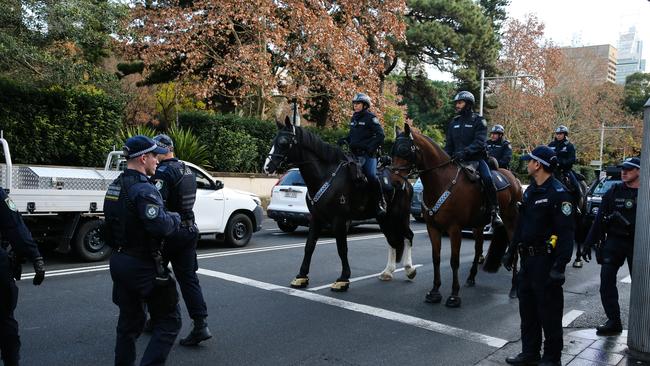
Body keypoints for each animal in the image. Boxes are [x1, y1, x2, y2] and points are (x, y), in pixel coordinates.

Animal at [264, 117, 416, 292]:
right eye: (274, 140)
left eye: (283, 142)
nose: (267, 167)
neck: (325, 176)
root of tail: (404, 180)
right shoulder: (316, 218)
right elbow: (309, 246)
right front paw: (301, 276)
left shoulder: (340, 220)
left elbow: (342, 248)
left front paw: (343, 279)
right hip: (384, 219)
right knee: (392, 241)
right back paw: (388, 272)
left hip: (400, 216)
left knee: (408, 236)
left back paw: (409, 269)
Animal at [390, 124, 520, 308]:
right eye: (393, 151)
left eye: (405, 150)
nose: (394, 182)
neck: (441, 181)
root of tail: (513, 177)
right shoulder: (433, 228)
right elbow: (436, 258)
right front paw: (435, 291)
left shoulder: (454, 229)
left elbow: (454, 261)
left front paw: (454, 295)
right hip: (478, 225)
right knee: (478, 249)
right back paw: (471, 278)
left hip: (510, 219)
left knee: (514, 250)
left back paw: (514, 289)